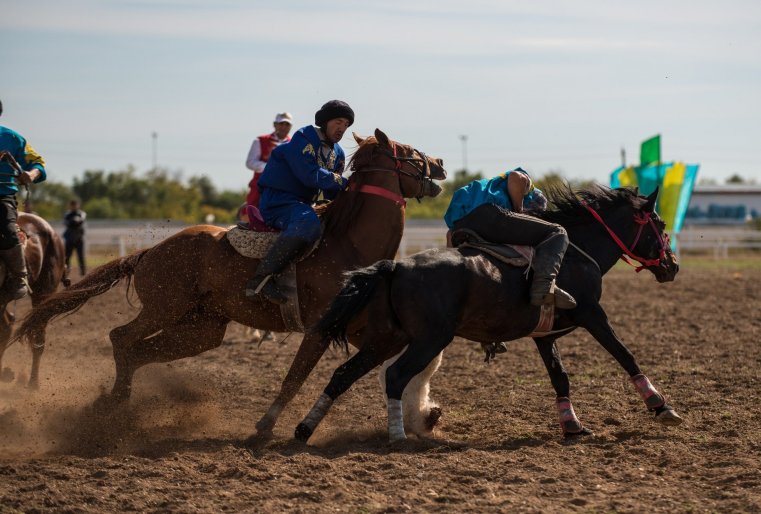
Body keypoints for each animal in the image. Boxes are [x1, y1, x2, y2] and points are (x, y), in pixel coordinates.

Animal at [13, 129, 448, 439]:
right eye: (410, 151)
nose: (441, 163)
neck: (348, 244)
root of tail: (150, 252)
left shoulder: (365, 329)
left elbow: (411, 366)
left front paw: (423, 415)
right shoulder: (321, 329)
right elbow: (295, 376)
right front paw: (266, 424)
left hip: (202, 329)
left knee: (139, 352)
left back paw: (113, 405)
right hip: (164, 309)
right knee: (121, 338)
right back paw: (113, 404)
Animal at [294, 185, 684, 443]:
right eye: (662, 225)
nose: (673, 267)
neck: (578, 249)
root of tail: (396, 267)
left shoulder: (545, 335)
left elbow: (560, 377)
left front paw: (571, 425)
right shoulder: (593, 314)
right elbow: (625, 355)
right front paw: (661, 406)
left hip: (388, 338)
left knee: (343, 375)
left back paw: (304, 428)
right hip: (428, 339)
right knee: (395, 377)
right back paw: (397, 434)